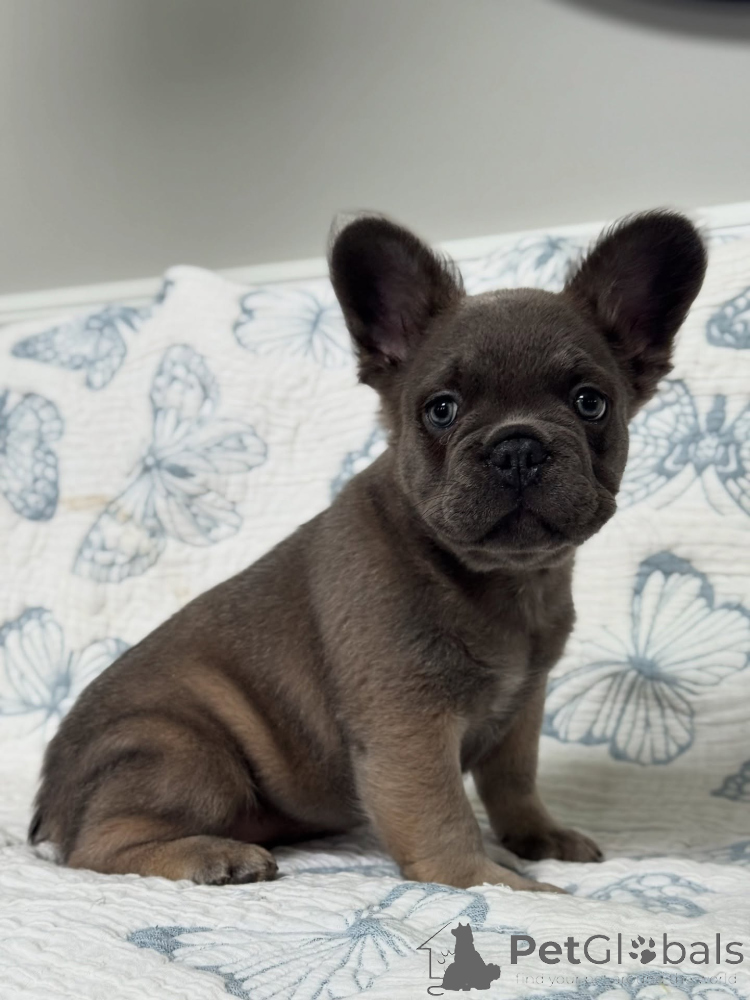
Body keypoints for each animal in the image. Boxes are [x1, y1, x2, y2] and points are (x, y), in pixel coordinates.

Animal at [30, 210, 706, 892]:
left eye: (590, 402)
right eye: (441, 410)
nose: (518, 447)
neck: (501, 580)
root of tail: (49, 799)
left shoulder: (520, 712)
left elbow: (514, 784)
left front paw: (539, 836)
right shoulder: (408, 727)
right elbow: (443, 819)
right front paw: (500, 884)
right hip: (184, 750)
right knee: (97, 846)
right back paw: (212, 855)